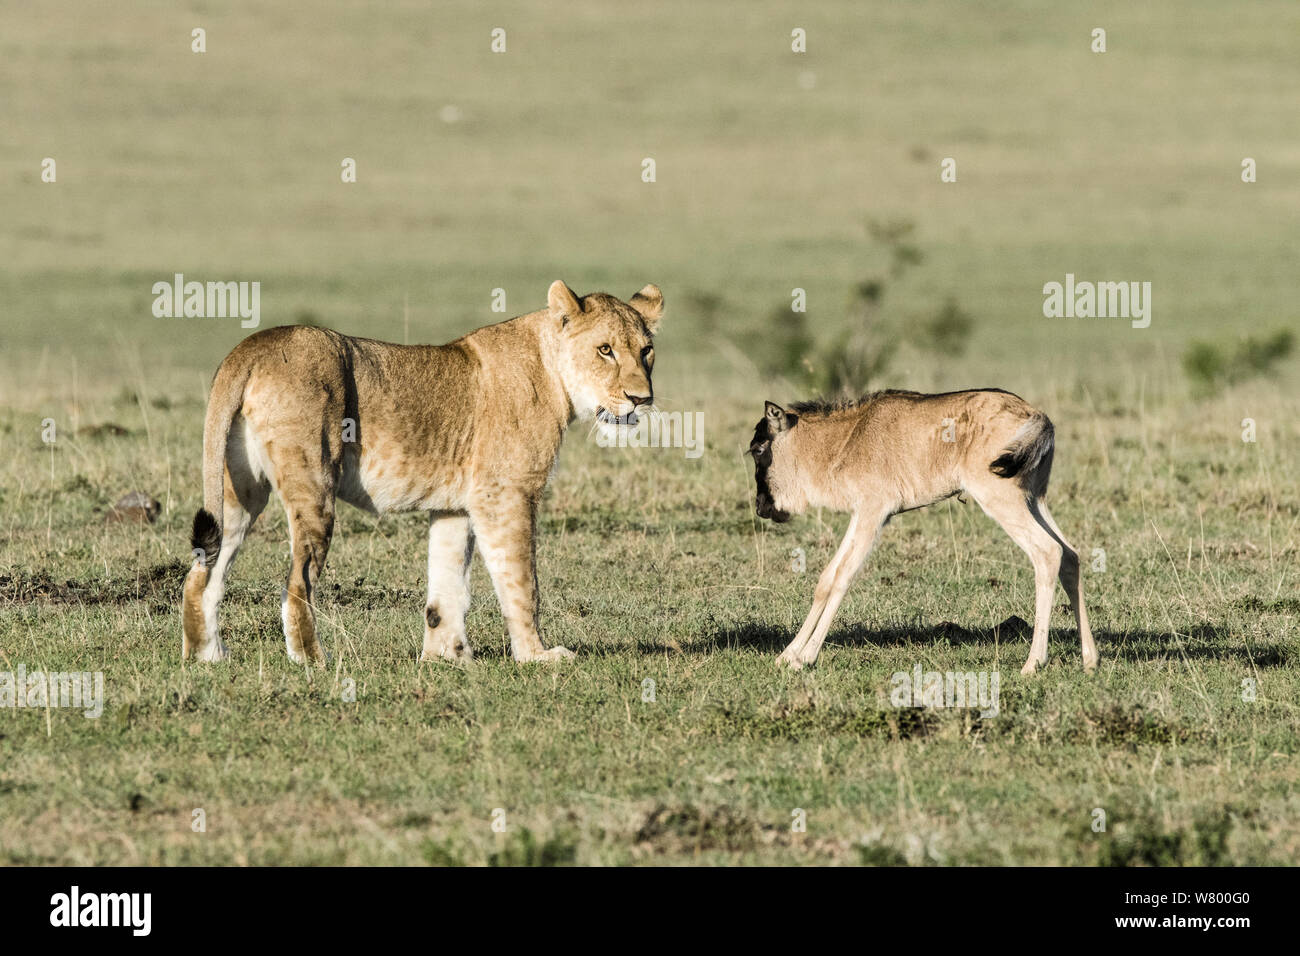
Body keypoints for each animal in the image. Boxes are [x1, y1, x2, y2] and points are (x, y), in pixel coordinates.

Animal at [179, 278, 665, 665]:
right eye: (605, 350)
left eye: (647, 351)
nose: (641, 399)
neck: (553, 374)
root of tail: (253, 345)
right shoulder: (506, 495)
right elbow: (522, 583)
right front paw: (538, 656)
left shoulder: (455, 506)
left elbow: (447, 586)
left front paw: (446, 657)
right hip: (313, 483)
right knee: (296, 582)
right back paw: (313, 660)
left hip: (239, 493)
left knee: (202, 573)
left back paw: (207, 657)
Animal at [754, 387, 1097, 671]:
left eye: (758, 449)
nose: (760, 507)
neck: (849, 437)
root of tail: (1037, 417)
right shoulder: (861, 513)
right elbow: (826, 578)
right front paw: (789, 654)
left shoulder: (874, 513)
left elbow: (842, 577)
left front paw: (806, 656)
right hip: (1035, 499)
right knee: (1070, 555)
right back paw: (1089, 659)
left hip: (1001, 499)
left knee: (1048, 552)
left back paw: (1033, 663)